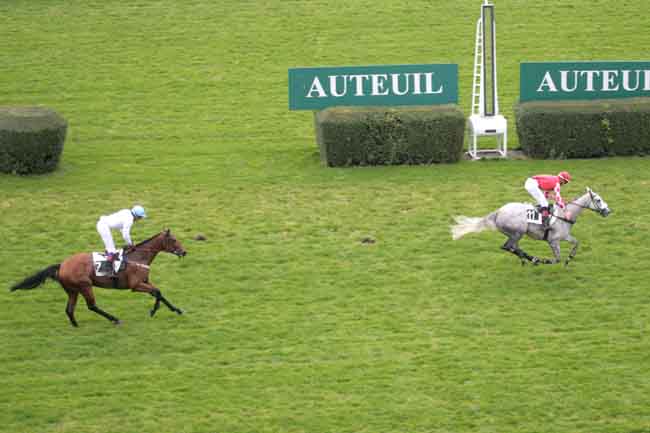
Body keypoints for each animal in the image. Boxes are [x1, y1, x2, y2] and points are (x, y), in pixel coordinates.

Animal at [11, 230, 186, 324]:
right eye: (173, 240)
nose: (184, 252)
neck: (139, 257)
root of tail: (62, 265)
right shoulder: (135, 286)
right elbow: (157, 292)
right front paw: (153, 310)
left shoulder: (145, 281)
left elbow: (159, 292)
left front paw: (176, 309)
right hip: (85, 286)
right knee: (92, 306)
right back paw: (114, 319)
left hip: (72, 290)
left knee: (69, 309)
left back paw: (76, 326)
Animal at [448, 187, 612, 264]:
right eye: (598, 200)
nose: (608, 211)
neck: (565, 214)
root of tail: (498, 212)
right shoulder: (553, 241)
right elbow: (556, 259)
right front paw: (546, 260)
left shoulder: (565, 237)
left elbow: (576, 243)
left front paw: (569, 258)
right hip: (518, 232)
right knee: (508, 247)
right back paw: (533, 259)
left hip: (514, 234)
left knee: (512, 247)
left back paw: (528, 258)